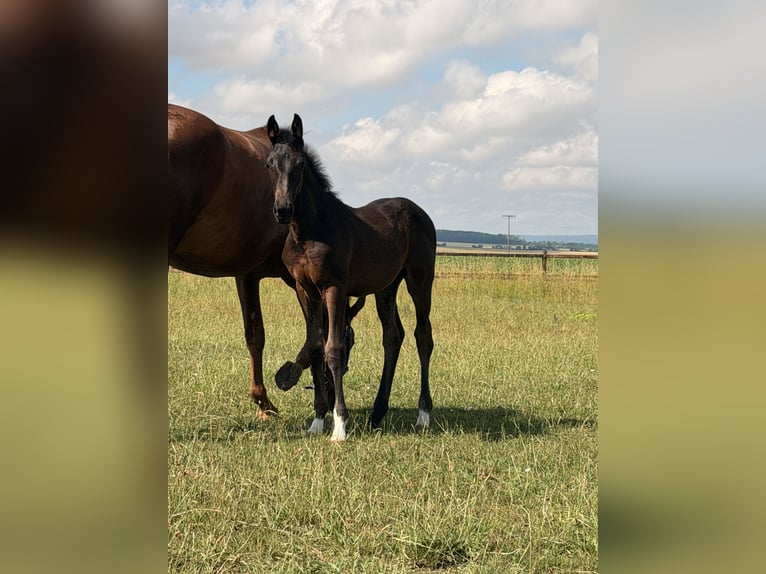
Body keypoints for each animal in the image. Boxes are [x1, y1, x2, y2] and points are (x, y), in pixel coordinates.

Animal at [169, 104, 358, 418]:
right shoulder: (300, 281)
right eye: (350, 342)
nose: (333, 397)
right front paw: (287, 375)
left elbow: (255, 335)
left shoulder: (246, 275)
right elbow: (315, 338)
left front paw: (262, 401)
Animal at [265, 113, 436, 441]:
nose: (282, 210)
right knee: (393, 336)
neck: (308, 231)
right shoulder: (305, 290)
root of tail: (419, 211)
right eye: (269, 164)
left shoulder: (334, 287)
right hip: (386, 288)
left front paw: (339, 426)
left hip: (420, 281)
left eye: (300, 165)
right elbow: (315, 348)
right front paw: (317, 420)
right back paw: (377, 413)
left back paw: (423, 414)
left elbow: (333, 348)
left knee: (423, 336)